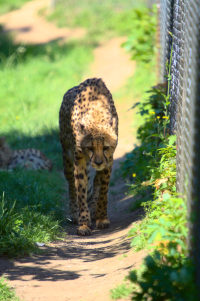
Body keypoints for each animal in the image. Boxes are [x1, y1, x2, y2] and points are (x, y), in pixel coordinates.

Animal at [59, 77, 119, 234]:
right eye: (90, 148)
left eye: (105, 147)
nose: (98, 162)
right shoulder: (78, 159)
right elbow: (80, 190)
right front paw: (84, 224)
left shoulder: (109, 160)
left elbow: (103, 190)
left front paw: (102, 218)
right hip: (67, 158)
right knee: (71, 184)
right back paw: (74, 213)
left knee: (96, 181)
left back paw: (94, 210)